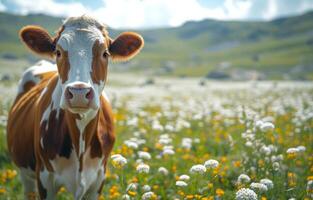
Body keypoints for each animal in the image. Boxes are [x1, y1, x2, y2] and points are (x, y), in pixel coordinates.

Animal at [7, 14, 144, 199]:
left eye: (105, 53)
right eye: (58, 52)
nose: (79, 92)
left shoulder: (98, 179)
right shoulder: (44, 178)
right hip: (25, 174)